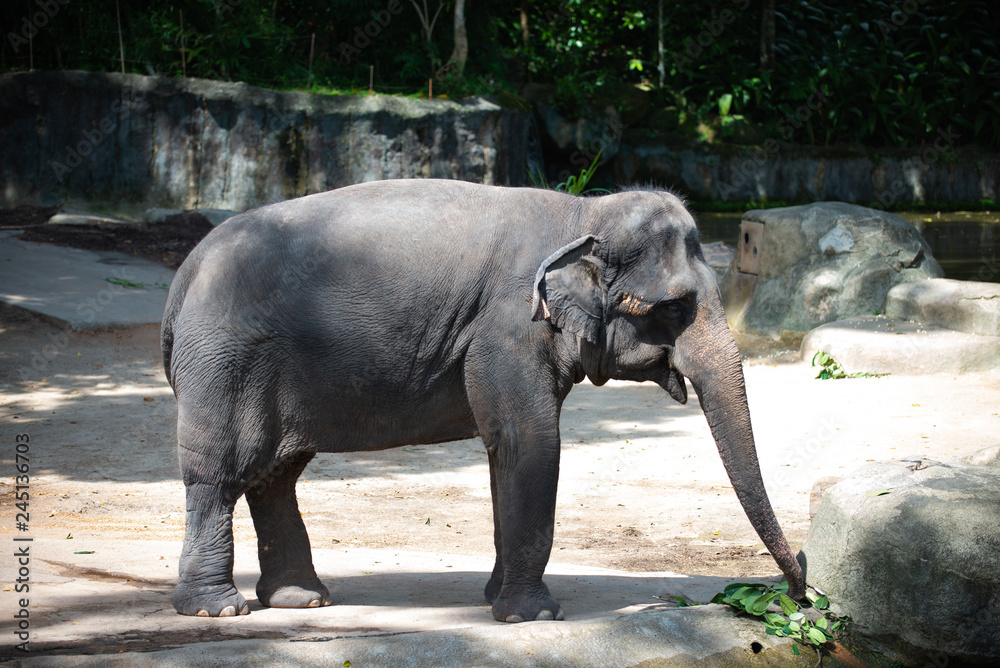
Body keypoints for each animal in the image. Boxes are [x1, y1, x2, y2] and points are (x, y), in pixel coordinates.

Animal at [161, 178, 805, 622]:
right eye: (671, 307)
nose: (798, 591)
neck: (582, 212)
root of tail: (184, 274)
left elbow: (505, 450)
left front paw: (498, 600)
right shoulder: (507, 328)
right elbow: (530, 442)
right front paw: (533, 616)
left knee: (276, 474)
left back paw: (301, 600)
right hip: (223, 364)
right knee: (218, 475)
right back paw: (220, 609)